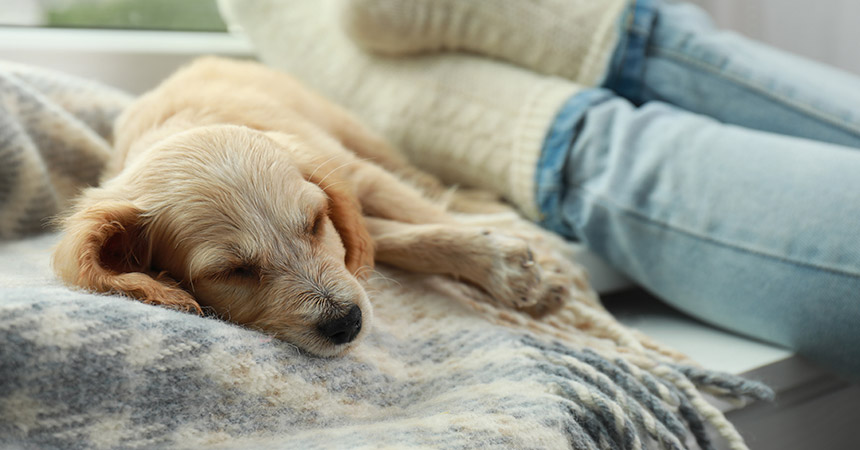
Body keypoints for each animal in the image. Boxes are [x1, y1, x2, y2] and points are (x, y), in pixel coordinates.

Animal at [53, 58, 564, 356]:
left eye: (315, 223)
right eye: (231, 272)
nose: (347, 323)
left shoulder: (354, 175)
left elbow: (422, 219)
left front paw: (516, 270)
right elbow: (386, 238)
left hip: (360, 137)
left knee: (425, 183)